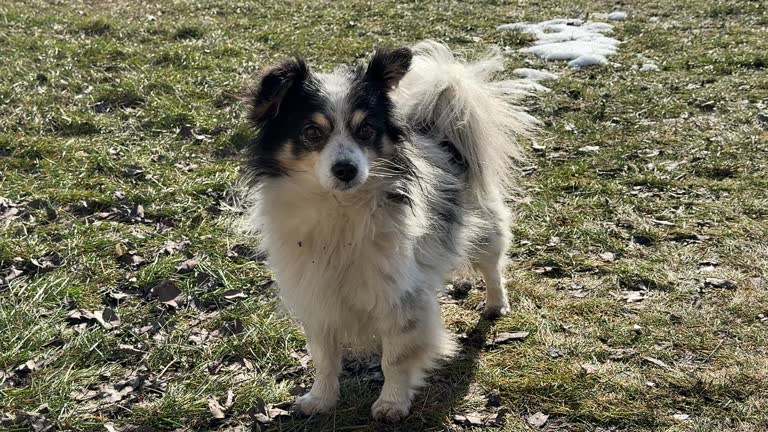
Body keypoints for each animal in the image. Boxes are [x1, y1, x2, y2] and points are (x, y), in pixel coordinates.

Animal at [240, 41, 536, 422]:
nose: (347, 170)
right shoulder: (316, 292)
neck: (340, 208)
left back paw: (496, 303)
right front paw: (320, 398)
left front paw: (392, 402)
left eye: (365, 130)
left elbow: (396, 357)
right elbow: (324, 355)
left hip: (485, 229)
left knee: (492, 266)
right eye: (312, 132)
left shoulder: (402, 296)